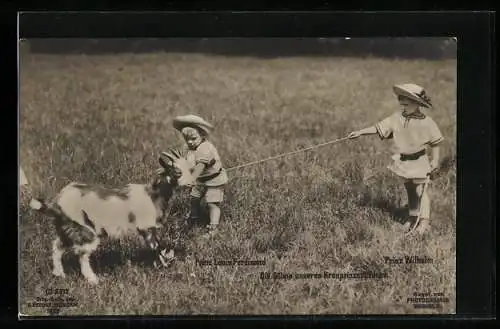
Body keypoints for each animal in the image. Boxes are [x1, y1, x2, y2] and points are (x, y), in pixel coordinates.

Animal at [28, 149, 193, 284]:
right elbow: (156, 247)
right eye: (177, 172)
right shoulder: (146, 226)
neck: (153, 193)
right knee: (82, 254)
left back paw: (59, 274)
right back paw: (93, 280)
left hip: (67, 228)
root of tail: (57, 201)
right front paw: (165, 266)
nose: (191, 184)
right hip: (84, 229)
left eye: (188, 168)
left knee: (57, 246)